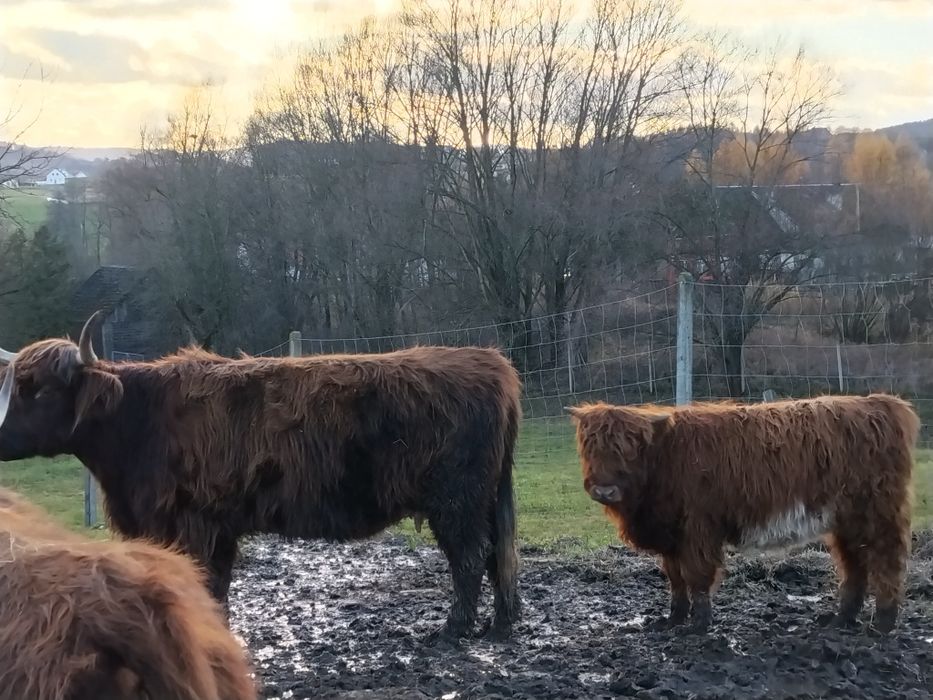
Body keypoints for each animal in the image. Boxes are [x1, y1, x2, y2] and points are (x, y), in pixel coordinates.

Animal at [0, 311, 522, 642]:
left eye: (39, 390)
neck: (137, 421)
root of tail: (491, 362)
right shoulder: (214, 526)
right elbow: (216, 584)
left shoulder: (192, 523)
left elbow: (204, 581)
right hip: (484, 497)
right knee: (496, 553)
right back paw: (501, 624)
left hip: (456, 500)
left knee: (469, 558)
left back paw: (453, 630)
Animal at [566, 394, 919, 634]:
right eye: (589, 446)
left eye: (628, 448)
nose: (604, 490)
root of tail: (879, 403)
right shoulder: (671, 534)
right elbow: (675, 578)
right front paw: (673, 619)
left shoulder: (698, 528)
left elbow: (697, 576)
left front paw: (699, 625)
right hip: (846, 522)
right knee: (854, 565)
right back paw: (841, 619)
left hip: (877, 515)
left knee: (886, 563)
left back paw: (882, 623)